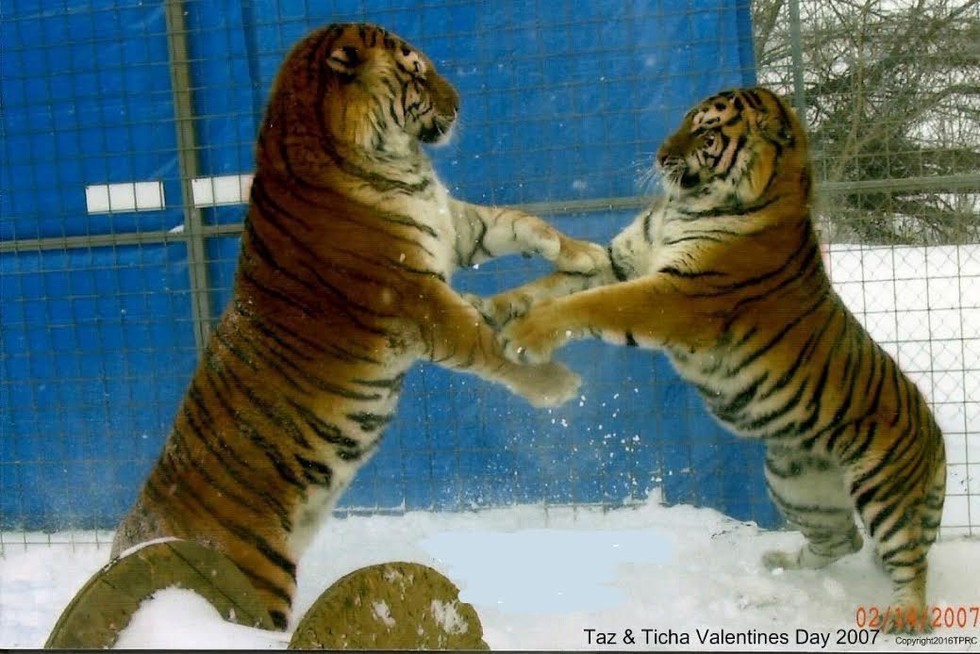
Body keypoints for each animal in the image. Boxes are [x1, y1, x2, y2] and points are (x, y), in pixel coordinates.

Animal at [110, 22, 606, 630]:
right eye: (415, 71)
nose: (460, 103)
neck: (395, 164)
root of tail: (135, 540)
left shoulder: (453, 226)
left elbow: (518, 222)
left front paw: (582, 254)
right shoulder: (420, 300)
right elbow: (487, 346)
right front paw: (560, 386)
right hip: (258, 580)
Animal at [477, 86, 947, 632]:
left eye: (706, 135)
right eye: (685, 121)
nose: (660, 156)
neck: (685, 207)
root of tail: (935, 435)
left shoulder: (674, 295)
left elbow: (589, 305)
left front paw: (525, 333)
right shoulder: (622, 262)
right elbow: (553, 285)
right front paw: (493, 307)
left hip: (884, 491)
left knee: (909, 557)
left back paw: (904, 617)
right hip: (797, 484)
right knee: (842, 539)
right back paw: (781, 564)